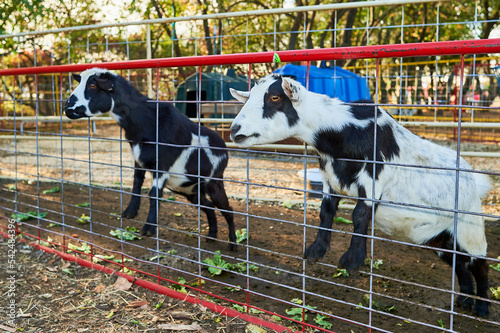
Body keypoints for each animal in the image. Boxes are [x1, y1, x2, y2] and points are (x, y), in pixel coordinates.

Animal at [64, 68, 236, 249]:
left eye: (92, 85)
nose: (67, 108)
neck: (146, 122)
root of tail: (224, 149)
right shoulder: (139, 160)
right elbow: (136, 183)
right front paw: (130, 212)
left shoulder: (161, 166)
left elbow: (154, 195)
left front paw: (149, 228)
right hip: (190, 190)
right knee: (208, 207)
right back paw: (212, 236)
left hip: (214, 182)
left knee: (228, 209)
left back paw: (233, 244)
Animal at [229, 74, 492, 316]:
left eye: (275, 98)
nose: (234, 130)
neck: (343, 131)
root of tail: (472, 178)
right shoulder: (330, 179)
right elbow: (326, 212)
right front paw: (316, 250)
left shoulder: (373, 177)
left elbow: (359, 214)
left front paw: (352, 261)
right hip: (439, 236)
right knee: (459, 263)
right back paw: (464, 299)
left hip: (469, 224)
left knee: (479, 263)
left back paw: (482, 307)